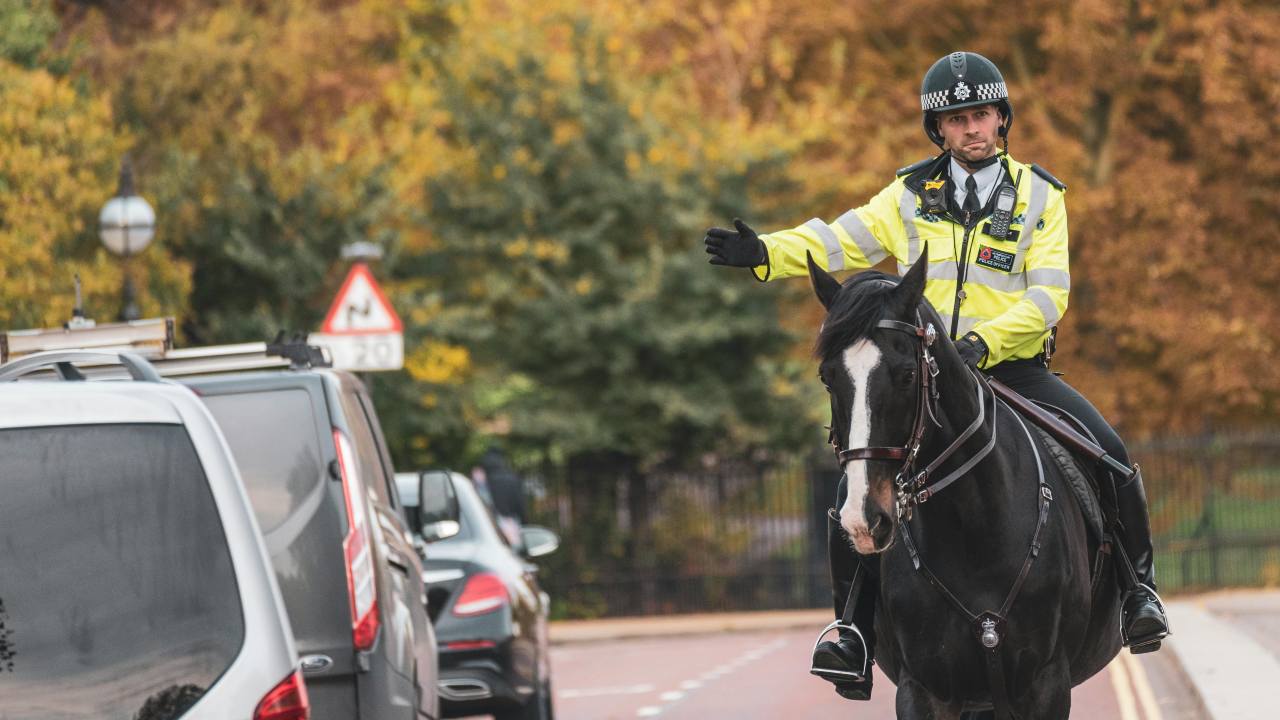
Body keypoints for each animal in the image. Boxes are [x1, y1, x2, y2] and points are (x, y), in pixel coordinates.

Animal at [807, 248, 1122, 719]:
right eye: (828, 377)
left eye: (906, 374)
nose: (865, 519)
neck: (973, 528)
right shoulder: (923, 691)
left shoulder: (1046, 686)